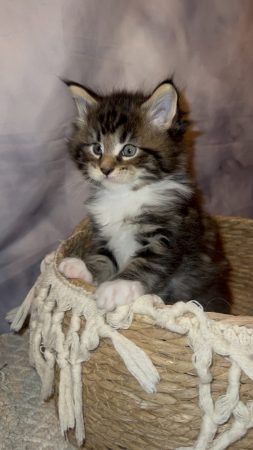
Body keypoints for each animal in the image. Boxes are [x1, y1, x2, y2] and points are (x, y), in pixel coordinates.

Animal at [58, 81, 229, 312]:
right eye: (97, 148)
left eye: (129, 150)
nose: (105, 169)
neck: (124, 195)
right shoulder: (103, 235)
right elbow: (103, 256)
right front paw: (83, 266)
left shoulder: (169, 233)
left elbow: (147, 262)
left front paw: (118, 286)